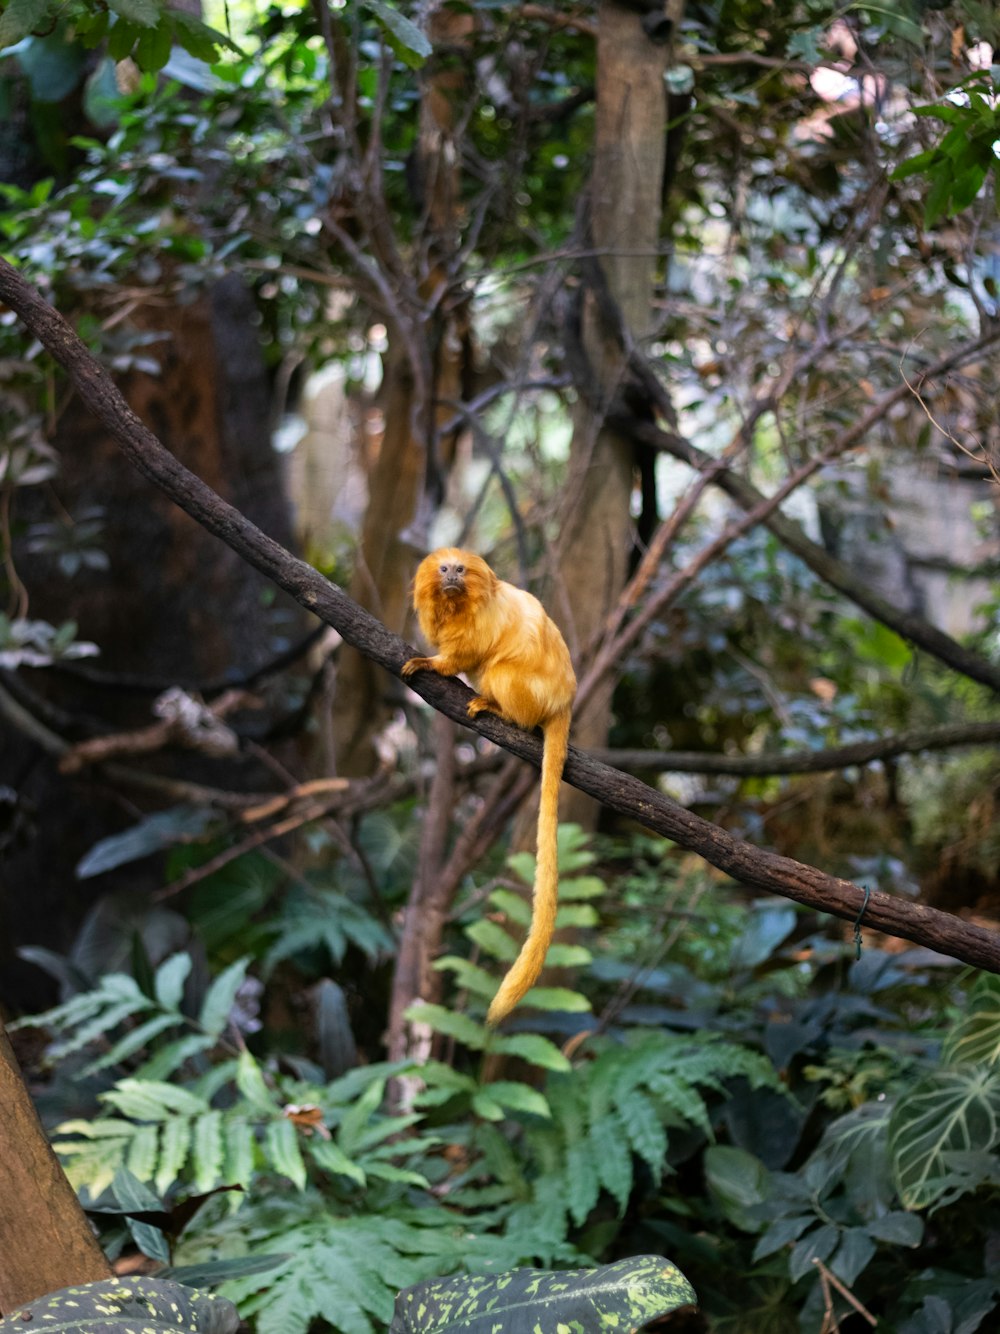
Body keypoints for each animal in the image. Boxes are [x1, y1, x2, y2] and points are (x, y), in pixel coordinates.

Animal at [402, 546, 578, 1024]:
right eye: (444, 569)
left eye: (460, 570)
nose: (450, 575)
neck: (458, 604)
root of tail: (565, 699)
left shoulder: (480, 628)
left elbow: (463, 656)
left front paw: (430, 664)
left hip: (528, 691)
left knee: (499, 673)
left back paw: (499, 709)